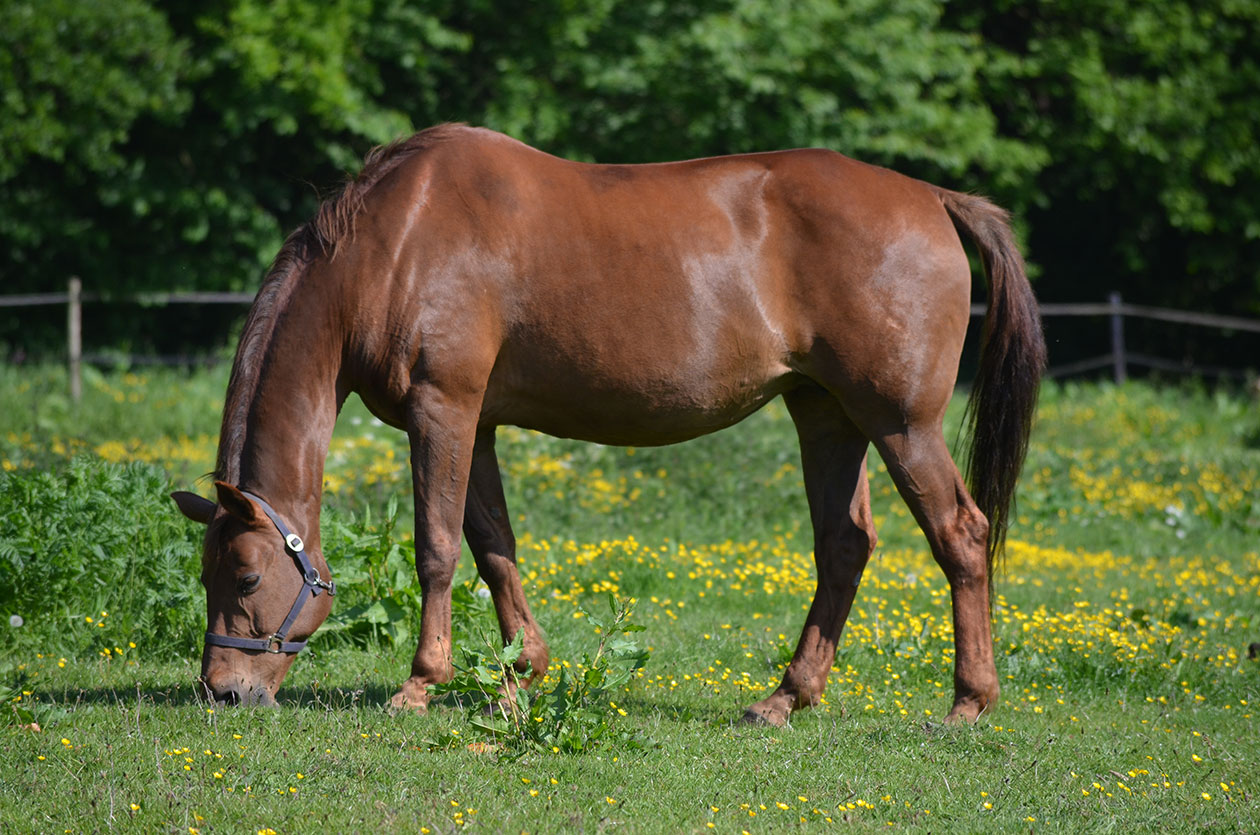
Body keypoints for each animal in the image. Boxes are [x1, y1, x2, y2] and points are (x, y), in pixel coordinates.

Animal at [175, 124, 1043, 725]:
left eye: (246, 576)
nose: (224, 691)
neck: (395, 244)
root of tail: (932, 198)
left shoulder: (442, 408)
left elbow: (439, 546)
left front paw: (421, 684)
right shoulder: (478, 423)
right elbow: (494, 547)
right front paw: (519, 676)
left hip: (902, 424)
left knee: (960, 535)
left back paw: (967, 702)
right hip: (828, 415)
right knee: (844, 547)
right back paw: (783, 698)